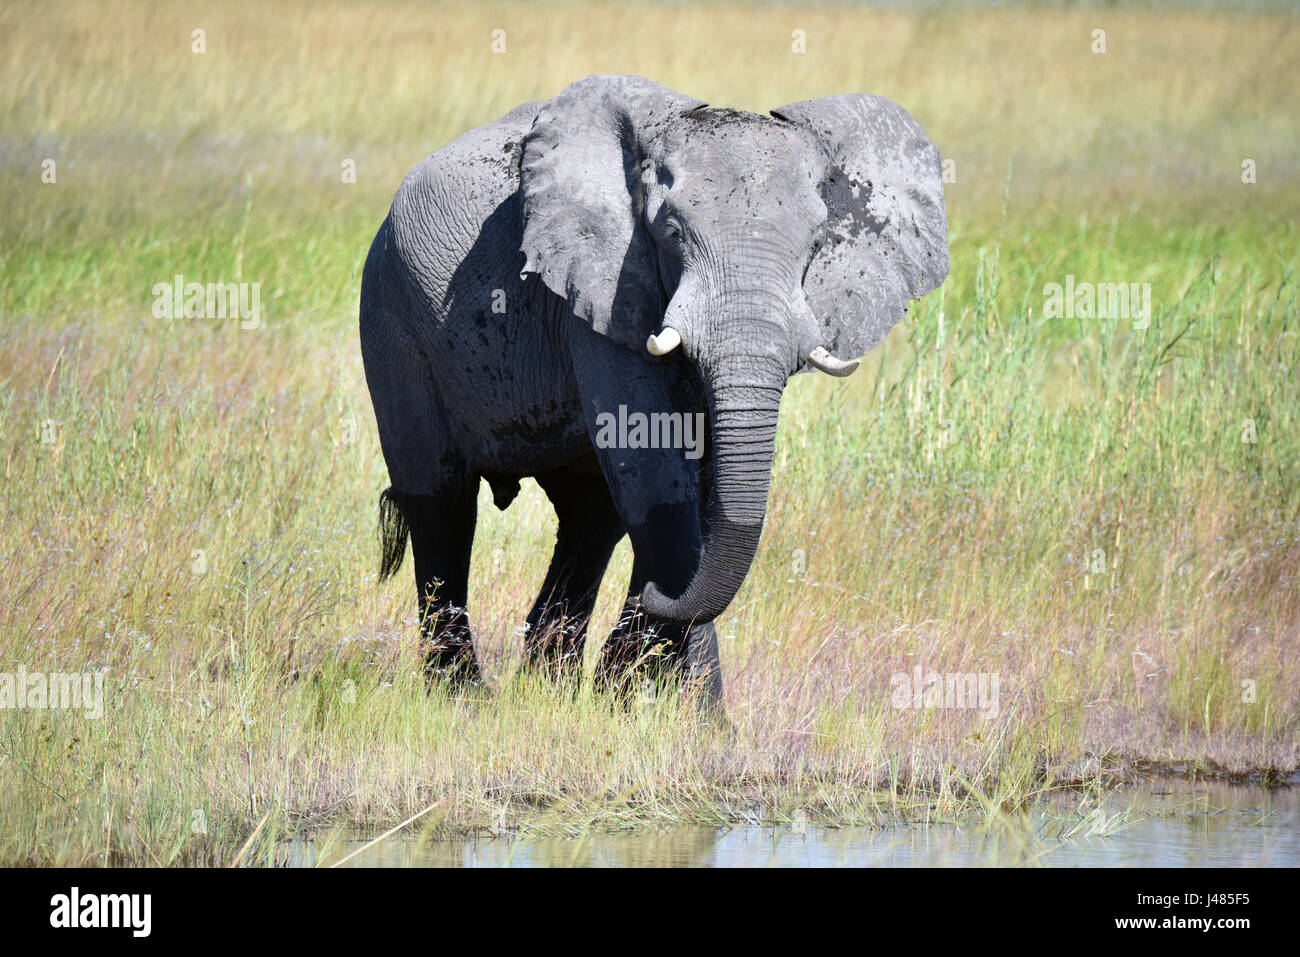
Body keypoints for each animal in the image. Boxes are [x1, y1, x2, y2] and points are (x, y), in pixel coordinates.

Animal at [361, 74, 951, 712]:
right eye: (670, 235)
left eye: (817, 244)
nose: (651, 602)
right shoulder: (605, 289)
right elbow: (656, 481)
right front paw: (700, 721)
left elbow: (692, 491)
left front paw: (632, 700)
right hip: (392, 314)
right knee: (441, 505)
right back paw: (463, 699)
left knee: (591, 519)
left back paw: (554, 687)